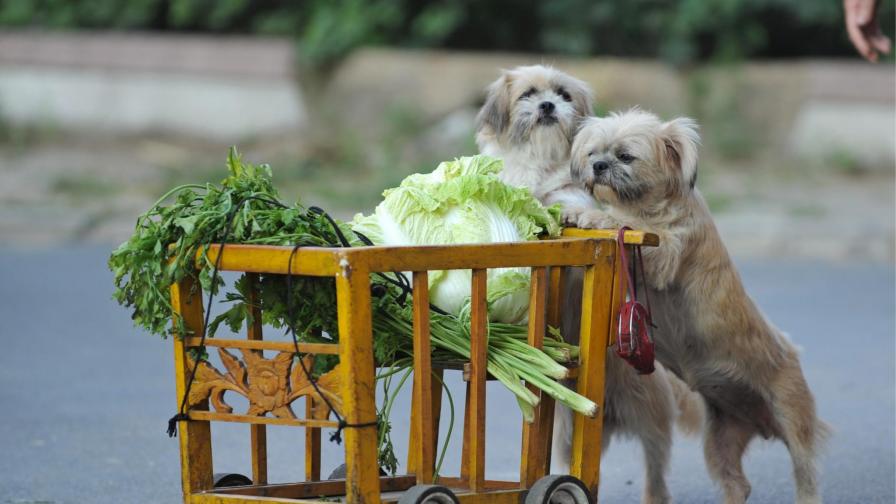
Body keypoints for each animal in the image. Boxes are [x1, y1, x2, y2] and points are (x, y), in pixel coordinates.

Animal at [476, 68, 700, 504]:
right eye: (529, 94)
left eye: (563, 95)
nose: (548, 105)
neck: (541, 164)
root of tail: (610, 414)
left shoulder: (573, 200)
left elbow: (566, 209)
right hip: (566, 434)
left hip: (651, 421)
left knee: (656, 468)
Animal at [568, 108, 824, 502]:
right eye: (594, 152)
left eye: (625, 156)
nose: (597, 165)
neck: (652, 208)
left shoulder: (664, 250)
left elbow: (624, 222)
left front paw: (595, 217)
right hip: (720, 441)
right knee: (737, 484)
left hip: (794, 423)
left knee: (806, 476)